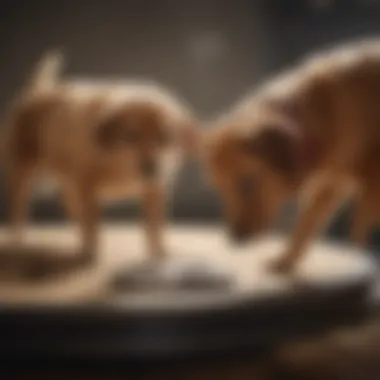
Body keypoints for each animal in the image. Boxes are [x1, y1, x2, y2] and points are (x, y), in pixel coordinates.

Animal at [2, 51, 199, 264]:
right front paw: (91, 254)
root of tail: (38, 91)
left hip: (67, 177)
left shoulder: (155, 190)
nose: (150, 169)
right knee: (19, 208)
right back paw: (19, 241)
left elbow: (155, 228)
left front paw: (160, 256)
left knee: (68, 202)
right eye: (131, 136)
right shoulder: (87, 186)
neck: (118, 161)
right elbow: (93, 224)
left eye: (165, 136)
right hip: (23, 171)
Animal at [203, 40, 380, 274]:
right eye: (220, 190)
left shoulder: (368, 183)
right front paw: (285, 261)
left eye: (247, 183)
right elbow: (306, 223)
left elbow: (358, 224)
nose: (234, 240)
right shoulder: (330, 182)